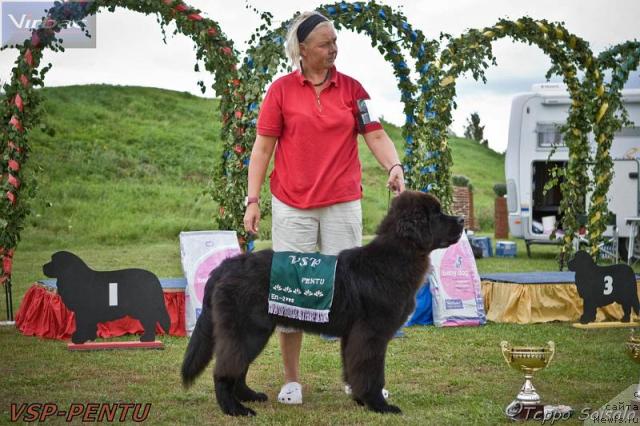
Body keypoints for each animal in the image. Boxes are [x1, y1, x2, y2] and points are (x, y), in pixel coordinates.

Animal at [182, 192, 462, 416]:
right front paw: (379, 405)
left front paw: (360, 399)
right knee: (225, 370)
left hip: (251, 331)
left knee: (238, 366)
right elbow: (371, 372)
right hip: (247, 329)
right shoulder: (371, 334)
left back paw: (249, 396)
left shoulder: (354, 335)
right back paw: (235, 409)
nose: (461, 220)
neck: (393, 258)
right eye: (435, 214)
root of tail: (225, 266)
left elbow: (354, 368)